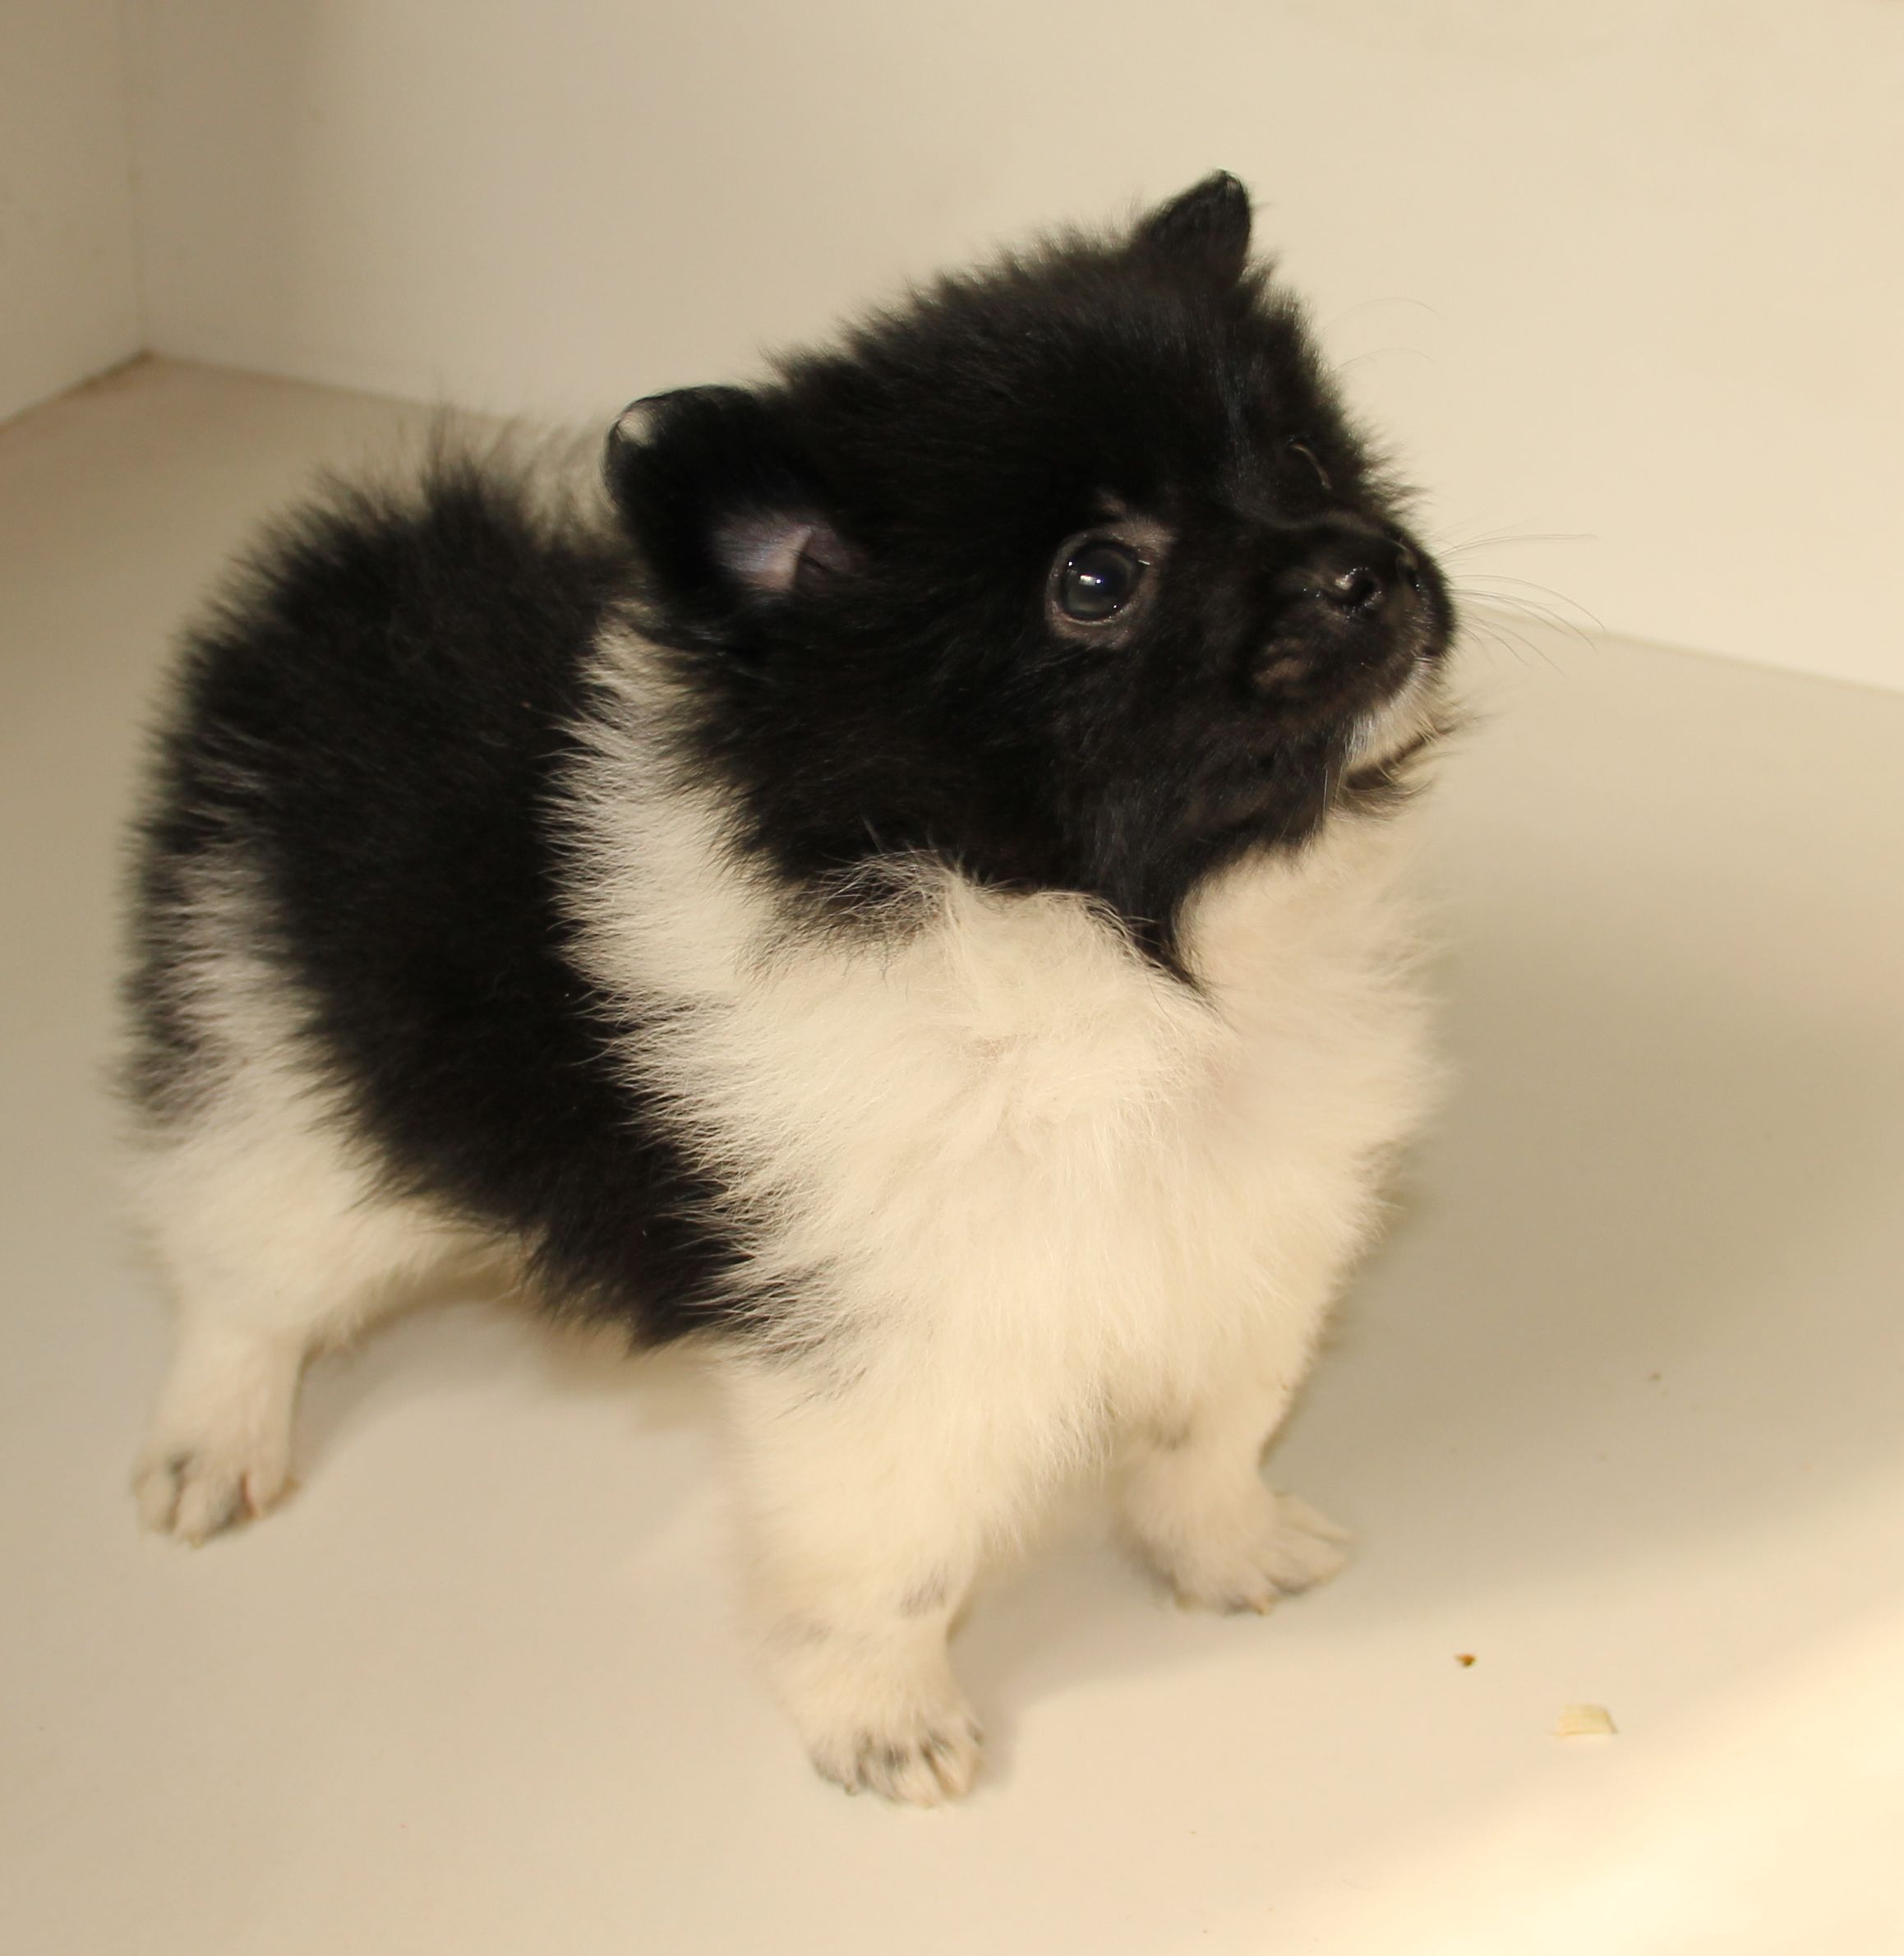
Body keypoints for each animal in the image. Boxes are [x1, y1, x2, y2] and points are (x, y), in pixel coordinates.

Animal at [125, 172, 1454, 1804]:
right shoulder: (893, 1340)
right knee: (237, 1267)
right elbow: (893, 1558)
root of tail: (336, 607)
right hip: (289, 1058)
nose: (1370, 563)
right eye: (1096, 579)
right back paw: (215, 1440)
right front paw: (884, 1721)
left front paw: (1229, 1553)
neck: (1133, 944)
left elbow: (1208, 1434)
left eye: (1300, 456)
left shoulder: (1242, 1231)